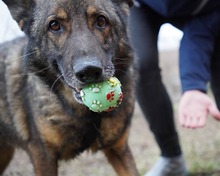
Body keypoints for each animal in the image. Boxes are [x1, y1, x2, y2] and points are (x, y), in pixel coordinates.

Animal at [0, 0, 138, 176]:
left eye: (101, 21)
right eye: (54, 25)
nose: (89, 71)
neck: (87, 115)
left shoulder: (118, 149)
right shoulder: (43, 157)